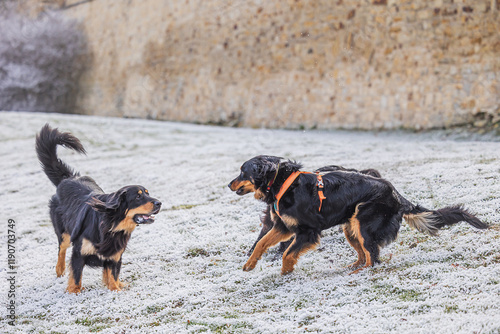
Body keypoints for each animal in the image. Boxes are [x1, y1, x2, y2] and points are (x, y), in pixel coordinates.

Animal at [229, 155, 486, 276]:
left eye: (243, 171)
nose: (228, 184)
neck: (283, 183)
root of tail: (397, 194)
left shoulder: (306, 231)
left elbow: (288, 254)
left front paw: (286, 273)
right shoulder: (283, 227)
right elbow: (261, 243)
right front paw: (250, 264)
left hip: (364, 223)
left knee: (373, 256)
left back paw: (359, 273)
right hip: (351, 226)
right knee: (364, 254)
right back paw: (353, 267)